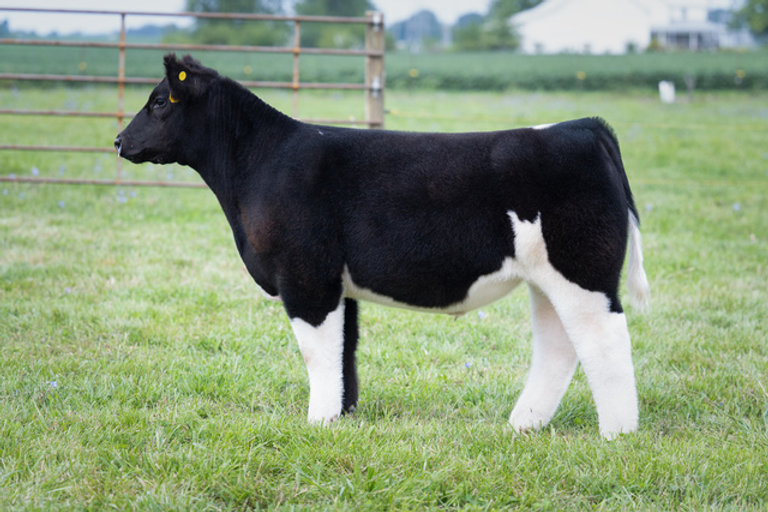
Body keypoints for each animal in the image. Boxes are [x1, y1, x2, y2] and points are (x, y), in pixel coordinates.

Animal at [114, 54, 649, 439]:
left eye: (159, 102)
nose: (119, 140)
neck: (259, 165)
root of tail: (583, 126)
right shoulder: (336, 282)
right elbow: (344, 352)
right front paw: (341, 417)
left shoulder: (305, 276)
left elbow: (318, 353)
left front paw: (317, 422)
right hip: (546, 278)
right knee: (558, 343)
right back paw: (524, 423)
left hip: (582, 271)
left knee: (603, 338)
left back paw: (616, 433)